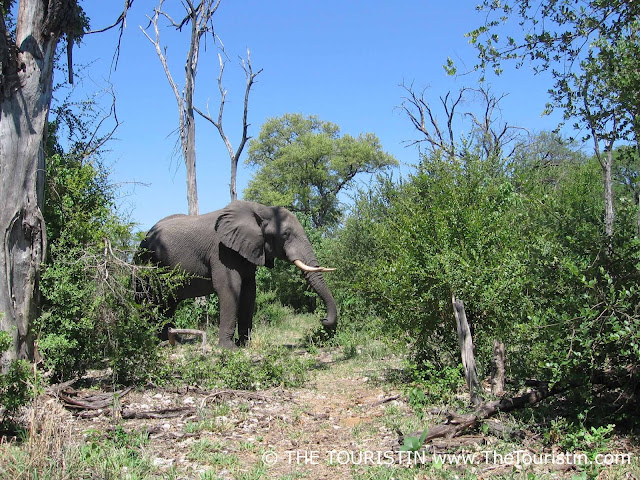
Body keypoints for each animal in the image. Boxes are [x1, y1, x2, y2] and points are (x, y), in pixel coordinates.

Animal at [133, 199, 338, 348]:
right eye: (286, 234)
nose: (323, 320)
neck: (261, 210)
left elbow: (249, 292)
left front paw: (244, 345)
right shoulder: (221, 251)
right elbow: (229, 289)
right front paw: (229, 349)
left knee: (169, 303)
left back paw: (172, 341)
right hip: (145, 263)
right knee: (147, 300)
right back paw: (153, 341)